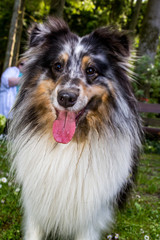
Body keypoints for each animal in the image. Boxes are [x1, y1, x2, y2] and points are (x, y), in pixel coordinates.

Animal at [8, 17, 142, 239]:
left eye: (91, 70)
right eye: (57, 66)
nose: (66, 97)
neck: (68, 145)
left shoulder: (89, 221)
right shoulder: (36, 207)